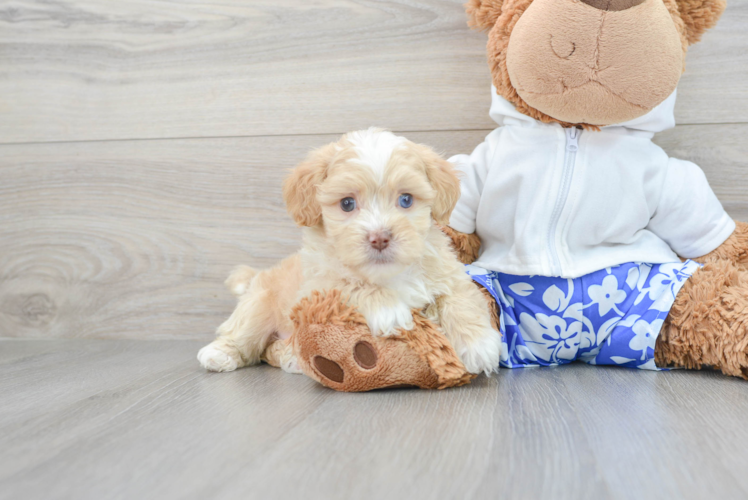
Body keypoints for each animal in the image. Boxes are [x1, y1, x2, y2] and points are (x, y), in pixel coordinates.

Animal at [197, 128, 502, 376]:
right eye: (346, 204)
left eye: (406, 200)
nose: (379, 238)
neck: (388, 275)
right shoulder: (317, 288)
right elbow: (351, 285)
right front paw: (390, 311)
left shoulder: (450, 275)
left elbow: (461, 300)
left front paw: (480, 346)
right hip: (259, 305)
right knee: (243, 335)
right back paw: (219, 354)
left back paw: (291, 358)